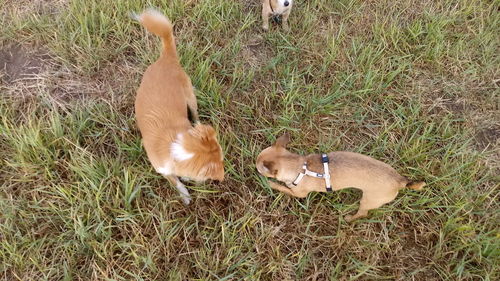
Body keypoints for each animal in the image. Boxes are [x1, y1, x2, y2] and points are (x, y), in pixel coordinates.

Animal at [135, 9, 225, 203]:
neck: (175, 148)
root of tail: (166, 57)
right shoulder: (162, 168)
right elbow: (174, 180)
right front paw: (184, 193)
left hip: (190, 98)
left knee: (195, 114)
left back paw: (197, 123)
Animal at [258, 133, 426, 221]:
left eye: (258, 168)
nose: (253, 164)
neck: (300, 167)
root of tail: (400, 180)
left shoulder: (299, 194)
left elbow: (284, 188)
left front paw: (271, 184)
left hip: (368, 200)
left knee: (363, 213)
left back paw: (349, 218)